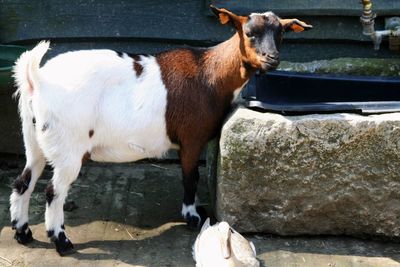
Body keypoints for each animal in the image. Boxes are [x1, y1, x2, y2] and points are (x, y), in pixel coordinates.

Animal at [8, 5, 310, 256]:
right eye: (249, 33)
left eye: (282, 33)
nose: (272, 58)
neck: (210, 73)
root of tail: (36, 80)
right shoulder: (191, 138)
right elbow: (190, 177)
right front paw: (193, 217)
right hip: (68, 146)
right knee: (53, 192)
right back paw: (62, 242)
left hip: (34, 139)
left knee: (23, 182)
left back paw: (23, 232)